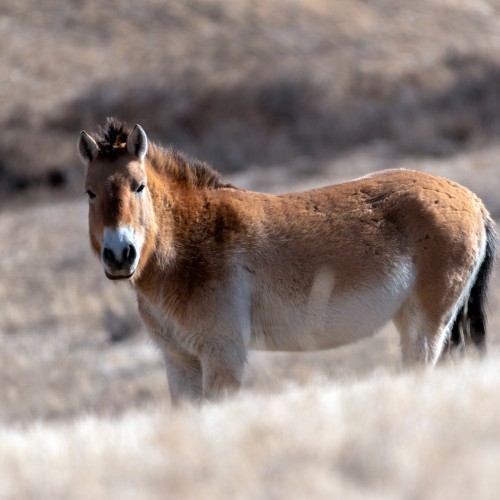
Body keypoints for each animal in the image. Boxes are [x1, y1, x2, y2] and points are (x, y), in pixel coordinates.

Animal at [77, 119, 496, 404]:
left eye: (140, 186)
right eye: (89, 192)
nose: (120, 255)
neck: (193, 241)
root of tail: (475, 203)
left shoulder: (223, 354)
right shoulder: (179, 362)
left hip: (425, 327)